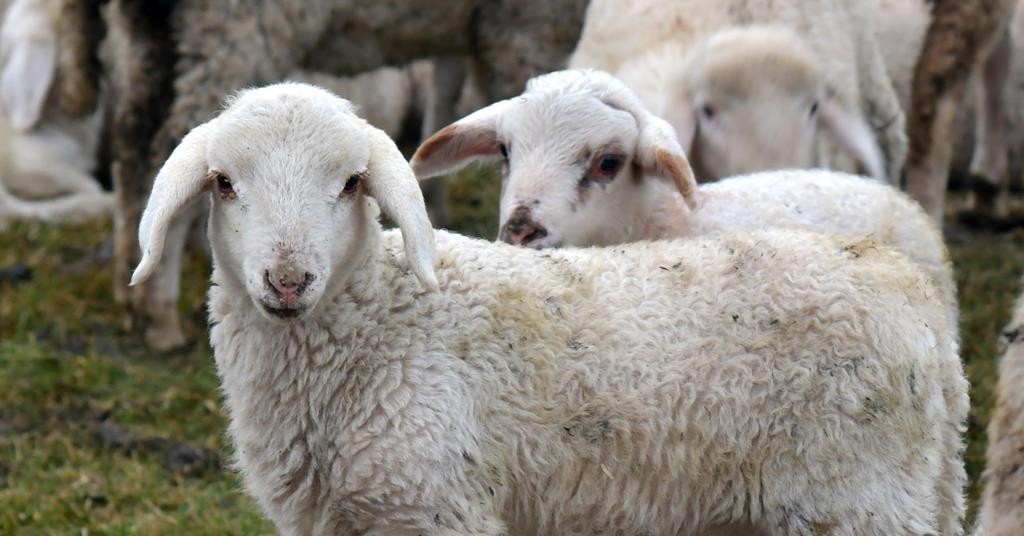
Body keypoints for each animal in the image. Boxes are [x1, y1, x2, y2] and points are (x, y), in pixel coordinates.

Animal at [127, 82, 967, 535]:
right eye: (225, 183)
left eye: (351, 184)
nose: (288, 280)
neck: (379, 329)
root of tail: (916, 296)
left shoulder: (437, 505)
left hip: (855, 501)